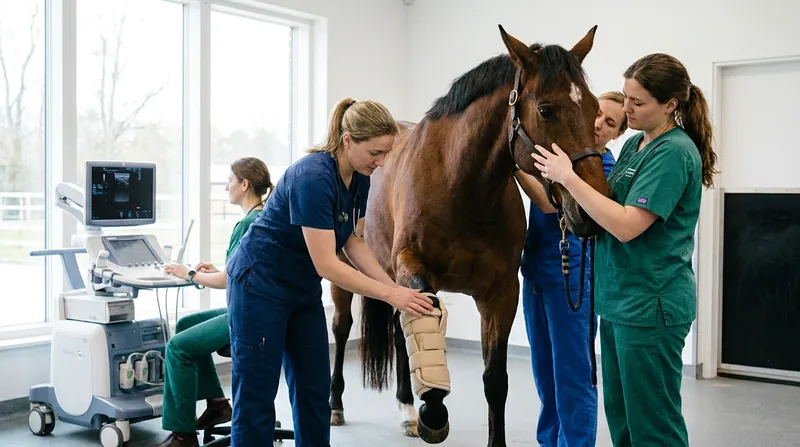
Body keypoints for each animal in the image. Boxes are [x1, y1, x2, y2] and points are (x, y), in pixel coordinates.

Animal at [328, 25, 611, 446]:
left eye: (594, 109)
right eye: (546, 110)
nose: (591, 212)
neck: (461, 184)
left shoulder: (500, 293)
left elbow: (495, 380)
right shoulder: (412, 266)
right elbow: (428, 316)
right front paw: (433, 410)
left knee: (397, 329)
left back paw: (406, 408)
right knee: (341, 327)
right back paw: (337, 405)